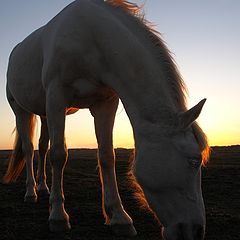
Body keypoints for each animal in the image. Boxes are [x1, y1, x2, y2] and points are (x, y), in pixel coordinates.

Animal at [3, 0, 210, 239]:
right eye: (194, 161)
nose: (196, 231)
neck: (90, 37)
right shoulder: (56, 97)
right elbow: (59, 155)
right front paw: (58, 216)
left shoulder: (105, 104)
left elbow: (106, 156)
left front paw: (119, 217)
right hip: (21, 110)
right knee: (29, 149)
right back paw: (31, 192)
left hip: (45, 114)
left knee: (42, 147)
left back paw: (43, 188)